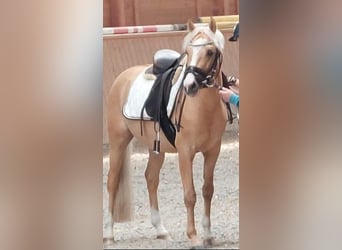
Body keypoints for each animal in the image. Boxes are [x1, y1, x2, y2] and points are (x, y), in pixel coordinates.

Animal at [103, 17, 228, 248]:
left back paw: (160, 230)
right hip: (118, 142)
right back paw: (108, 234)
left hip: (156, 148)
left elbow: (207, 190)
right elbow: (190, 194)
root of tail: (123, 77)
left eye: (209, 52)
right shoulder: (185, 152)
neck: (202, 108)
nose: (190, 85)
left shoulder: (213, 151)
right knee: (112, 181)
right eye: (188, 51)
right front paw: (194, 236)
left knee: (151, 178)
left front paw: (208, 234)